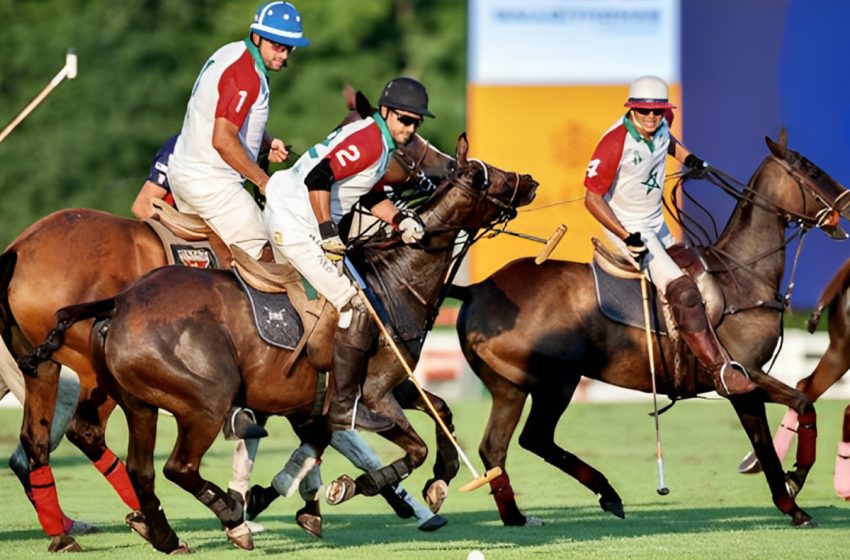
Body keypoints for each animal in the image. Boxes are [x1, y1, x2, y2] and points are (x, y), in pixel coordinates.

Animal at [24, 136, 536, 552]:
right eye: (484, 174)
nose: (529, 180)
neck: (394, 282)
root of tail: (119, 302)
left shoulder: (391, 383)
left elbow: (441, 413)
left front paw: (437, 485)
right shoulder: (371, 395)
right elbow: (411, 449)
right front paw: (355, 487)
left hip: (141, 405)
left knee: (143, 470)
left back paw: (167, 535)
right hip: (204, 401)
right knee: (177, 467)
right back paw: (231, 519)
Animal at [450, 137, 848, 528]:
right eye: (813, 171)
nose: (846, 202)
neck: (742, 275)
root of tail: (475, 288)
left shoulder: (751, 381)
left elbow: (798, 410)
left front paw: (794, 485)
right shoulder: (741, 377)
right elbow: (781, 427)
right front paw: (792, 500)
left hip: (510, 386)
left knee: (495, 447)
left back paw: (520, 516)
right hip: (556, 381)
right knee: (535, 437)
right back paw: (605, 492)